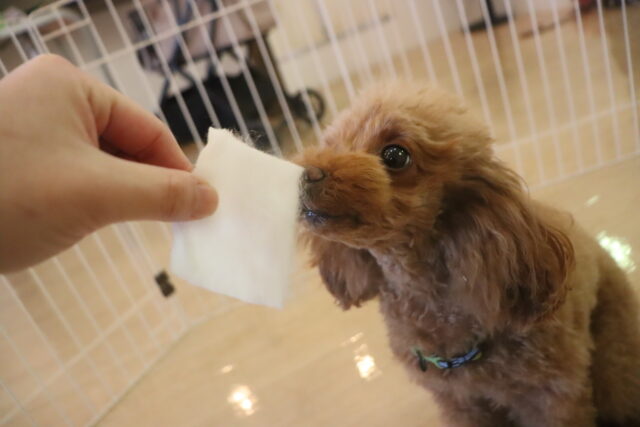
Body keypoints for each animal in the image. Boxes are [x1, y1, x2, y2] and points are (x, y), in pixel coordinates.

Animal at [296, 82, 640, 427]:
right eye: (332, 143)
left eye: (395, 156)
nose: (306, 174)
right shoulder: (460, 401)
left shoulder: (553, 396)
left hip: (614, 355)